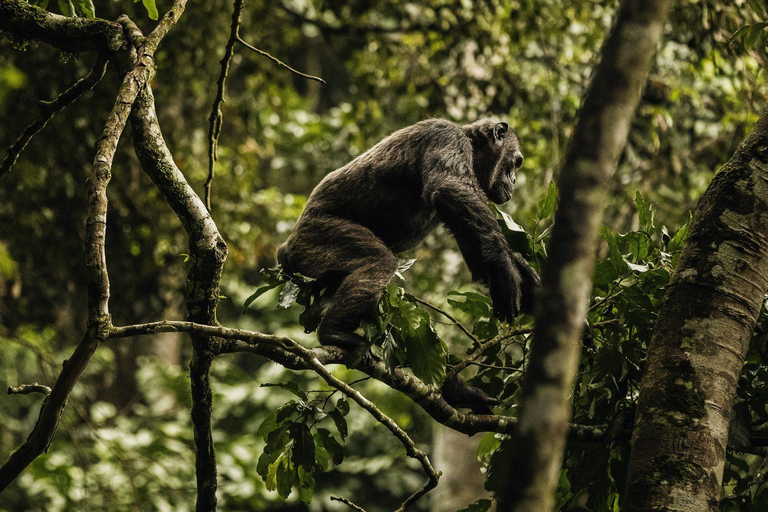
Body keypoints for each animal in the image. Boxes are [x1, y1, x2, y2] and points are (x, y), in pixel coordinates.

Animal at [278, 119, 540, 412]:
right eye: (516, 162)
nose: (514, 179)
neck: (472, 148)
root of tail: (286, 249)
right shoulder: (446, 138)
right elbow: (452, 189)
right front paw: (506, 276)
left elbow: (478, 252)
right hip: (316, 238)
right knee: (378, 263)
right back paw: (335, 334)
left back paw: (459, 392)